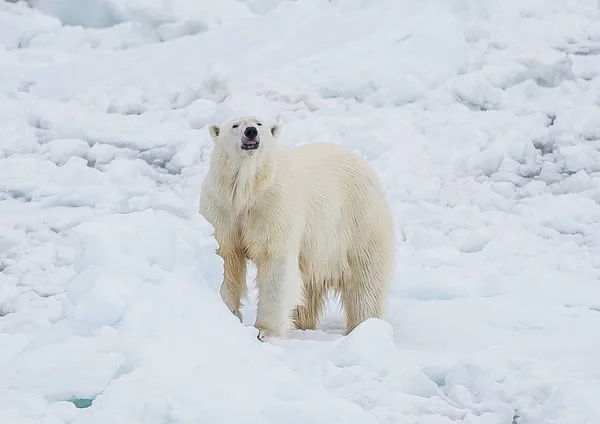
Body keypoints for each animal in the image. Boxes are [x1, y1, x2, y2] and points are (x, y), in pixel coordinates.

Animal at [199, 116, 396, 342]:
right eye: (235, 125)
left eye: (259, 124)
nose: (250, 132)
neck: (248, 191)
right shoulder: (223, 209)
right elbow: (226, 258)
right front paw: (227, 313)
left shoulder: (274, 206)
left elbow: (275, 261)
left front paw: (264, 331)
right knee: (309, 289)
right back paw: (303, 324)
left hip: (359, 222)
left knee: (366, 281)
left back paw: (364, 326)